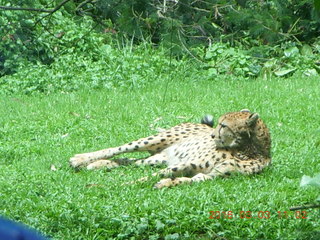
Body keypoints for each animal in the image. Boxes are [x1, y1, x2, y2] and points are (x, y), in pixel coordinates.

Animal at [69, 109, 270, 188]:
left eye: (224, 126)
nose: (212, 136)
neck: (247, 151)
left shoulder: (209, 175)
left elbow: (189, 180)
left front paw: (167, 183)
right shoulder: (187, 163)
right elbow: (145, 178)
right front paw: (111, 185)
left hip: (158, 158)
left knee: (132, 161)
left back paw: (99, 165)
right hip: (156, 139)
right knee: (117, 149)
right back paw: (80, 159)